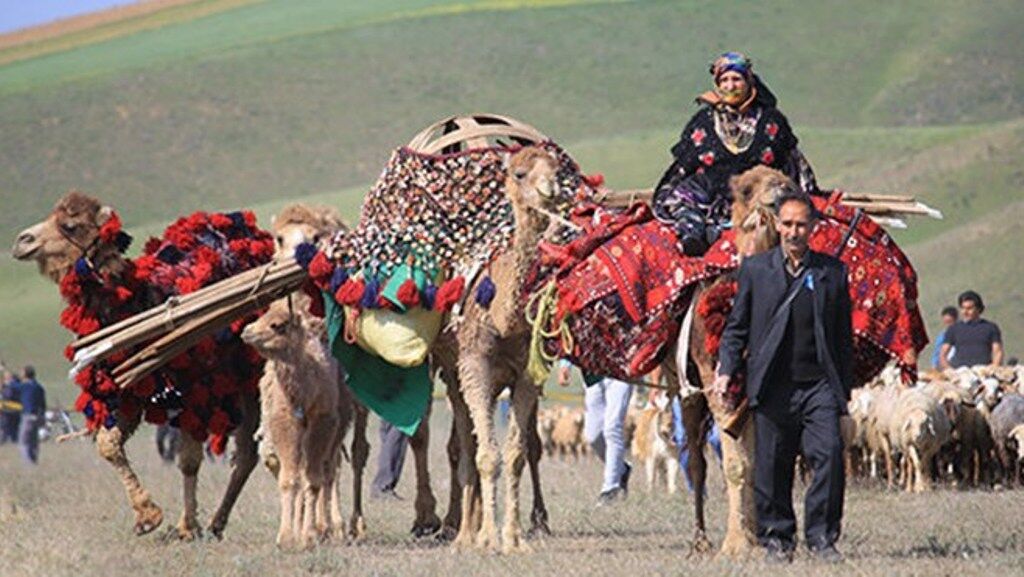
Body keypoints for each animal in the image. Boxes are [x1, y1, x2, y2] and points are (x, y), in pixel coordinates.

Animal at [11, 191, 260, 541]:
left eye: (70, 225)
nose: (22, 240)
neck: (137, 305)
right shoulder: (127, 391)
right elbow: (108, 445)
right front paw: (147, 516)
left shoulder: (196, 392)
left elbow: (189, 460)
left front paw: (186, 527)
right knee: (247, 453)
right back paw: (217, 523)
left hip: (251, 378)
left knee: (248, 451)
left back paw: (218, 521)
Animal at [241, 301, 346, 549]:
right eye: (264, 314)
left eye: (277, 325)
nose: (247, 331)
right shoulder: (285, 424)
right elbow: (290, 480)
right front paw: (287, 538)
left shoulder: (323, 423)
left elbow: (314, 480)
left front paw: (309, 536)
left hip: (338, 430)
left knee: (330, 471)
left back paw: (329, 528)